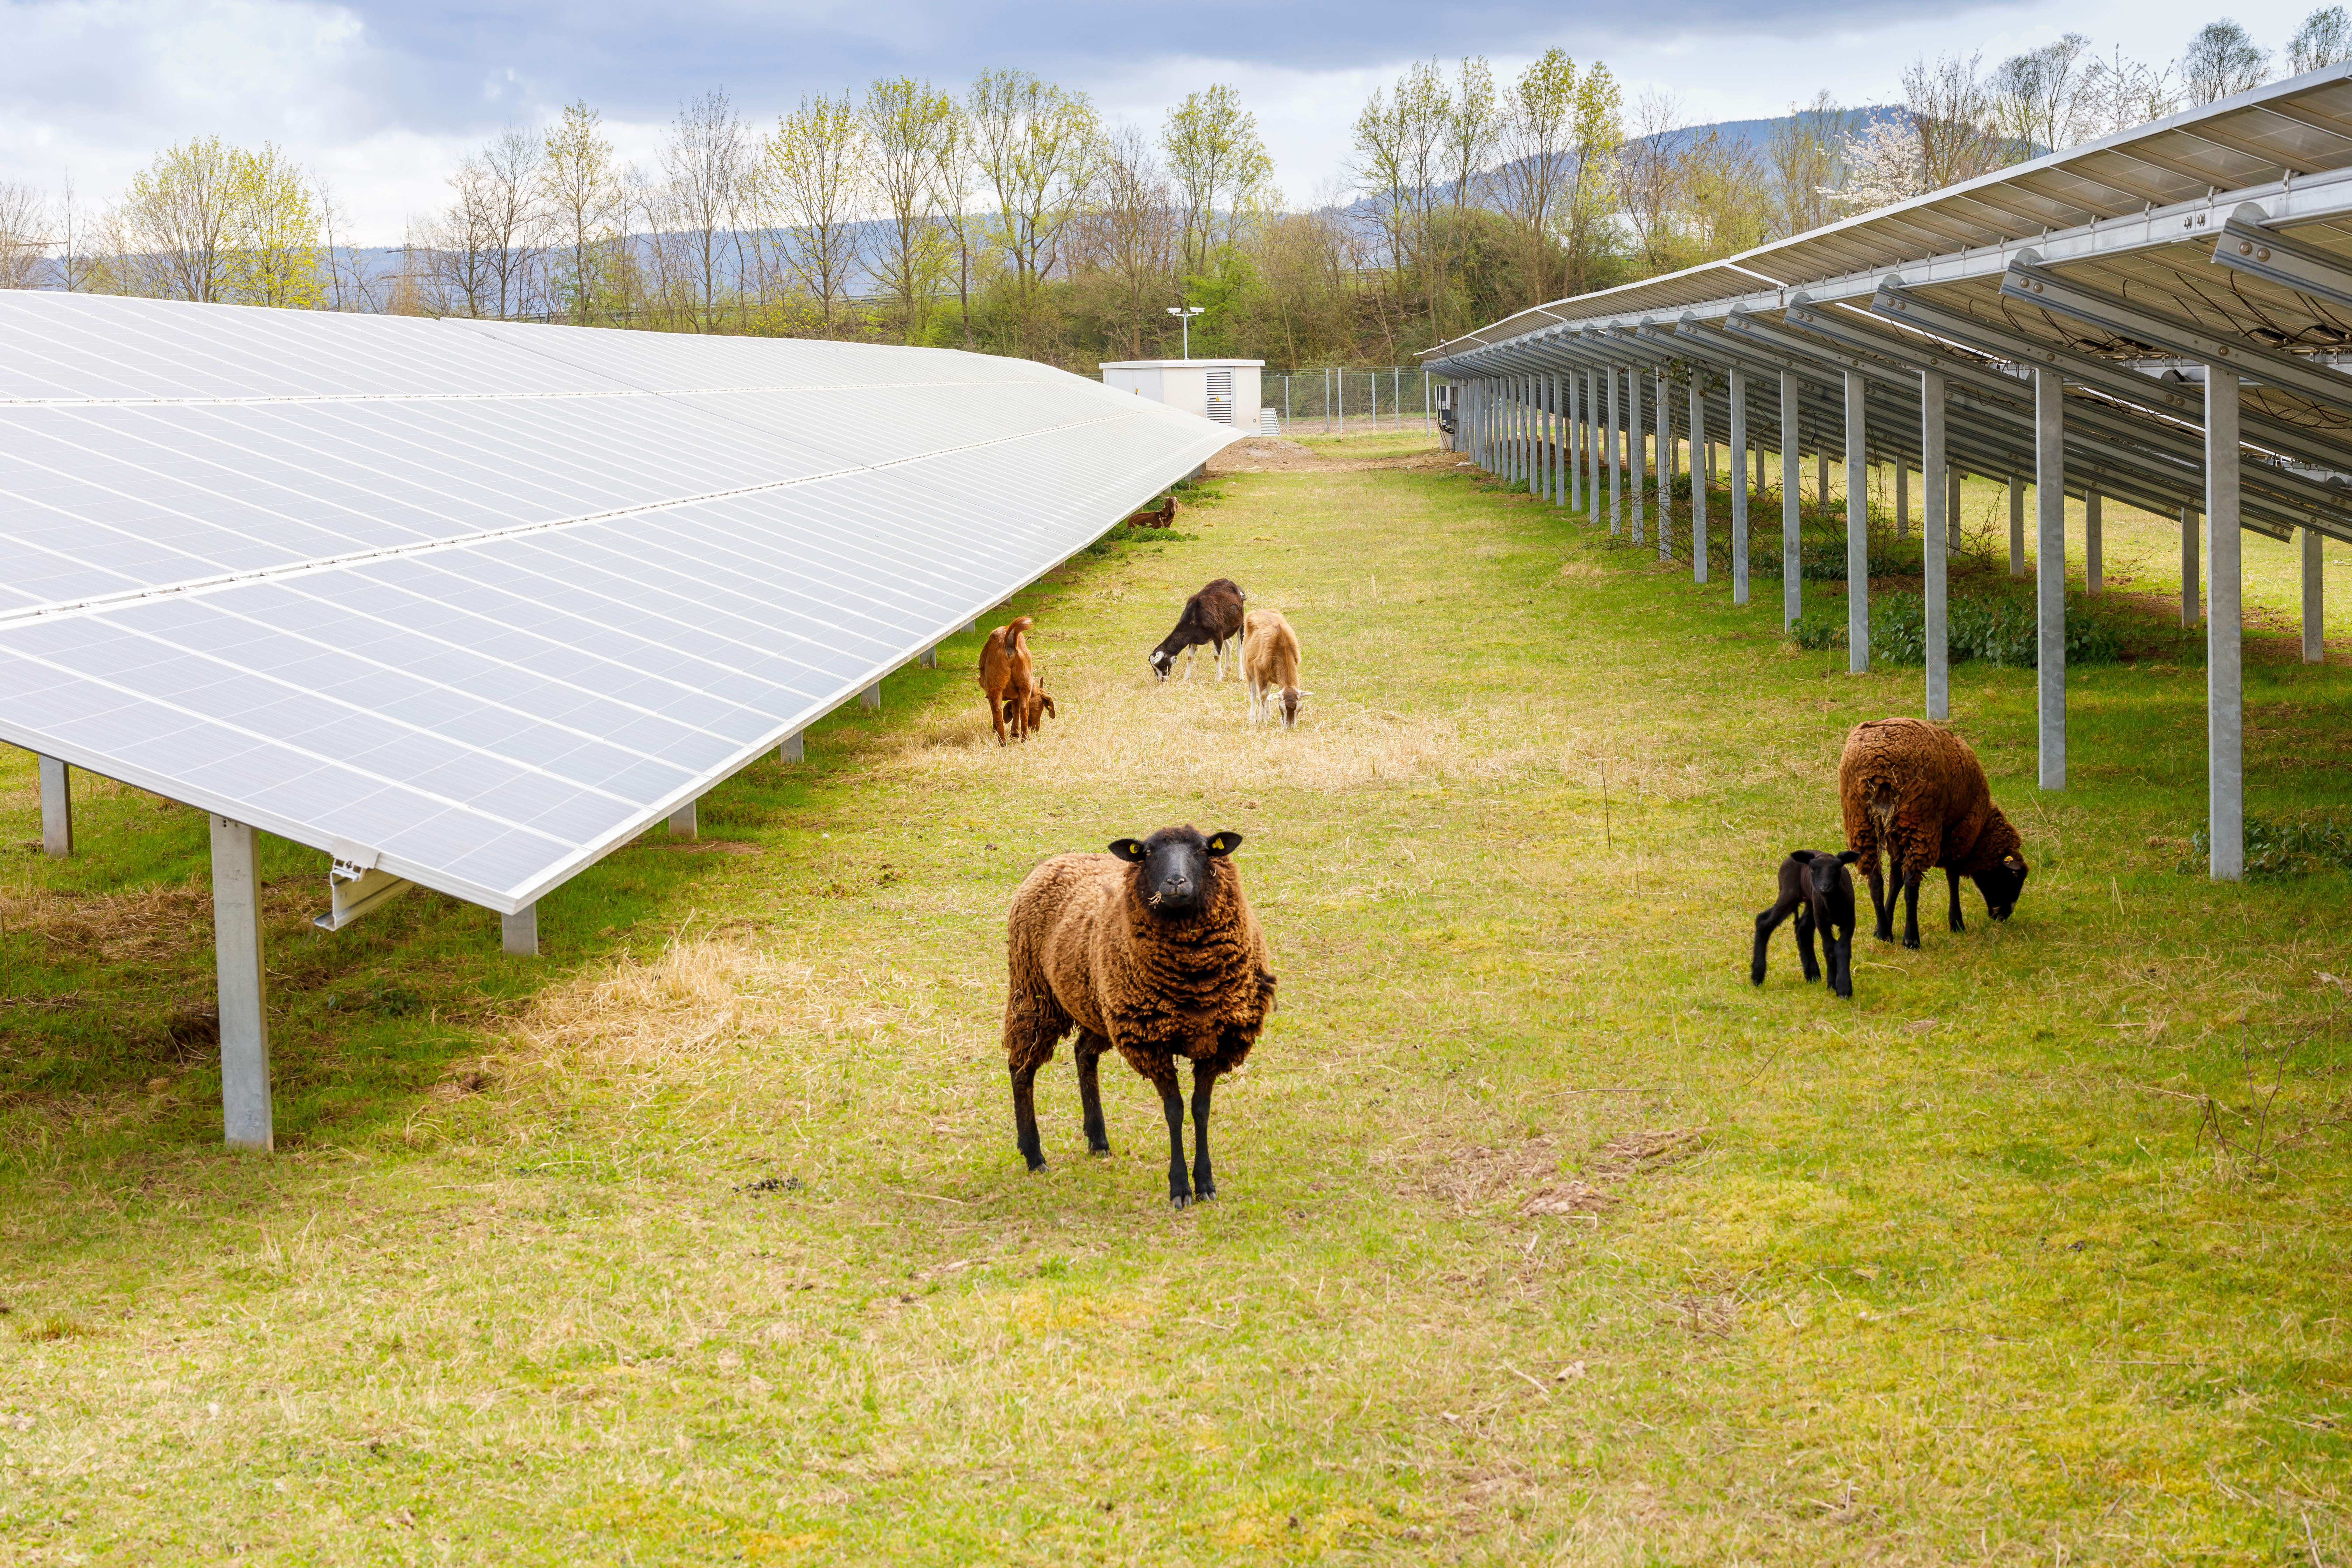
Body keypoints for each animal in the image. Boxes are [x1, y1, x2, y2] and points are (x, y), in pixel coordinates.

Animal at [1002, 827, 1279, 1213]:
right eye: (1147, 853)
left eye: (1203, 850)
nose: (1175, 882)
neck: (1193, 981)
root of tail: (1057, 860)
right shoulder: (1152, 1043)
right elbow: (1175, 1111)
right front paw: (1180, 1188)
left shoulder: (1218, 1039)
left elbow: (1201, 1109)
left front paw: (1206, 1182)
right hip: (1033, 991)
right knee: (1021, 1068)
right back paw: (1034, 1155)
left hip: (1097, 1005)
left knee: (1083, 1054)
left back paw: (1098, 1140)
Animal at [1143, 573, 1242, 677]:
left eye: (1160, 665)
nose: (1161, 679)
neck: (1195, 616)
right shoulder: (1193, 638)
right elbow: (1190, 657)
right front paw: (1186, 678)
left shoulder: (1217, 634)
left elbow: (1217, 656)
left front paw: (1218, 678)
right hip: (1226, 630)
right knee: (1230, 643)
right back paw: (1227, 669)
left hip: (1240, 624)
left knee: (1239, 648)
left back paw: (1240, 675)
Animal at [1759, 851, 1863, 1001]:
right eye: (1812, 869)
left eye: (1838, 868)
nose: (1824, 887)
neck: (1833, 906)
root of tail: (1788, 860)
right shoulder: (1821, 920)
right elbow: (1829, 949)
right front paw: (1833, 985)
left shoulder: (1850, 919)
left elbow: (1843, 949)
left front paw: (1844, 990)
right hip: (1790, 893)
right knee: (1765, 924)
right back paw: (1757, 977)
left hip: (1810, 902)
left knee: (1802, 929)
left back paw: (1812, 975)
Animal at [1825, 719, 2032, 950]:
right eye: (2013, 878)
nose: (2003, 916)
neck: (1982, 832)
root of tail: (1879, 765)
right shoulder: (1959, 832)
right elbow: (1952, 876)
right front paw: (1957, 923)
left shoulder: (1896, 837)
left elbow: (1895, 880)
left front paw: (1882, 925)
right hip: (1918, 819)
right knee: (1911, 885)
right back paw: (1911, 940)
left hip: (1859, 819)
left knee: (1875, 880)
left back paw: (1885, 935)